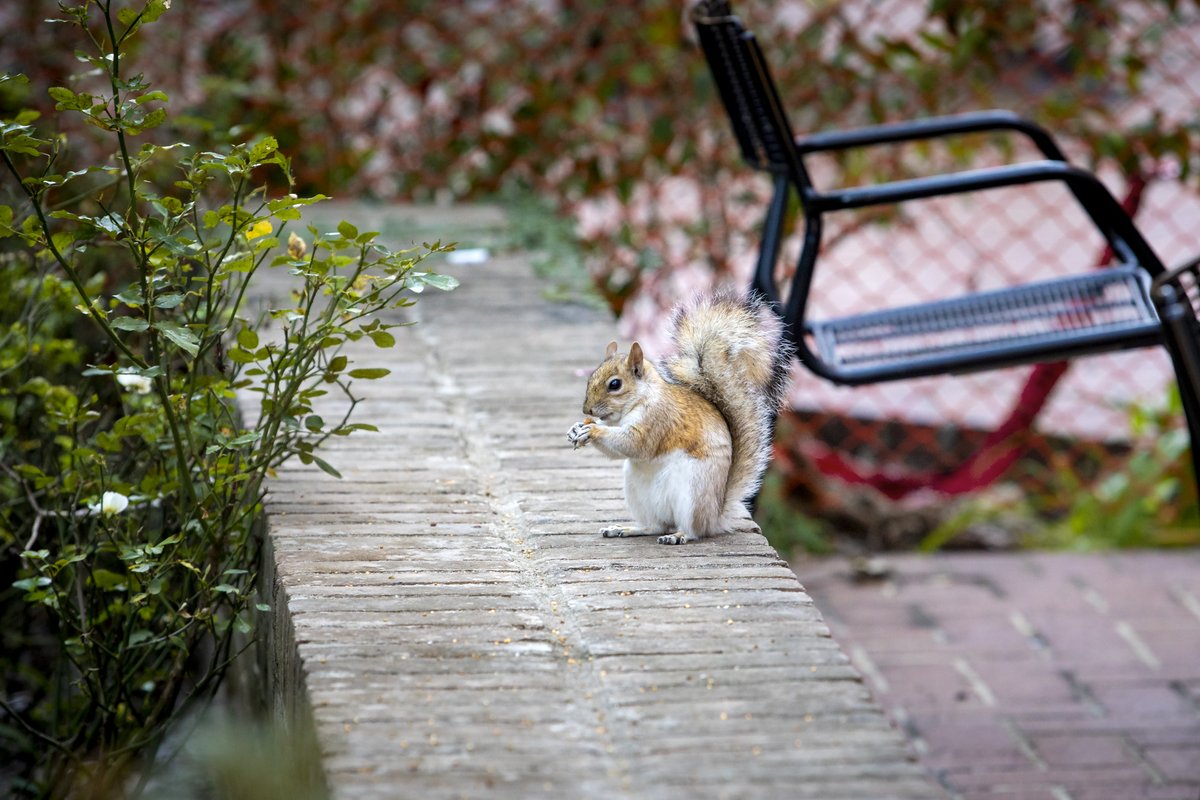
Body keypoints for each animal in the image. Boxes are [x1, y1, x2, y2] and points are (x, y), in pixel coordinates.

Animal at [566, 291, 792, 545]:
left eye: (615, 384)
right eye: (590, 378)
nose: (587, 410)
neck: (641, 399)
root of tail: (715, 515)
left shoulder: (657, 419)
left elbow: (634, 444)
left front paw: (593, 430)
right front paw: (576, 429)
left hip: (692, 493)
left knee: (694, 530)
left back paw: (678, 535)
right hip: (637, 491)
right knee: (655, 525)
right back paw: (625, 529)